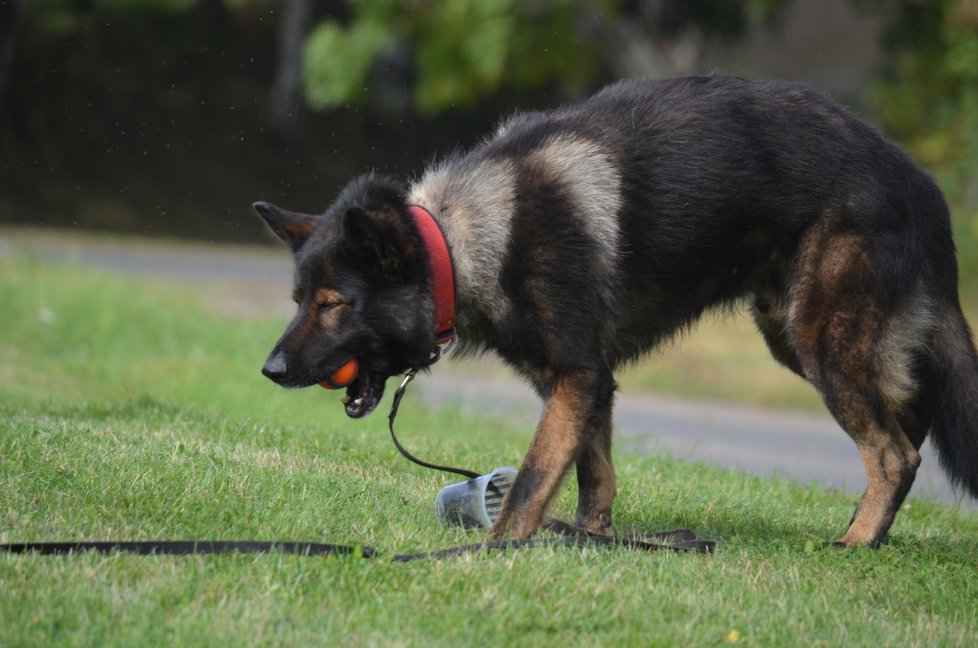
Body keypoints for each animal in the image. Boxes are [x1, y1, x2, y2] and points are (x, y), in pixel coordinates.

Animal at [258, 76, 976, 548]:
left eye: (333, 304)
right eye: (298, 301)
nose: (270, 370)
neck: (463, 244)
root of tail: (922, 186)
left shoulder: (576, 376)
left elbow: (533, 478)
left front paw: (499, 549)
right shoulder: (588, 383)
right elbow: (591, 472)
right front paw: (590, 539)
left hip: (820, 340)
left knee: (893, 453)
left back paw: (858, 542)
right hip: (795, 335)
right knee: (907, 421)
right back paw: (871, 528)